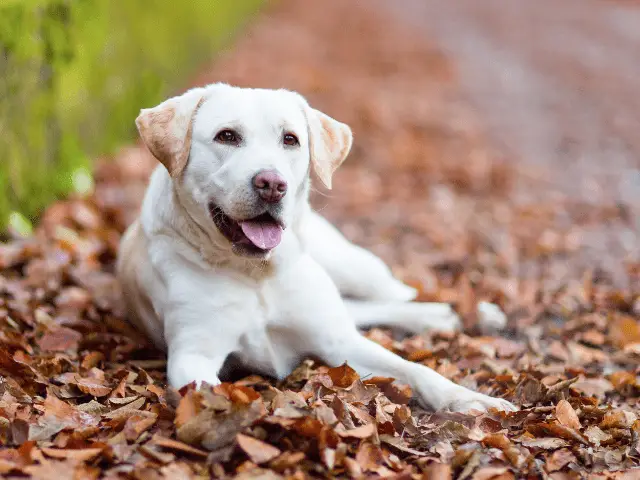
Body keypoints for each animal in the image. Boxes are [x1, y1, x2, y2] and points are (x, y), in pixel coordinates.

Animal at [115, 82, 516, 412]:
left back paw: (468, 312)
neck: (256, 273)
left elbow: (414, 369)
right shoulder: (193, 355)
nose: (272, 184)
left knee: (395, 293)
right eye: (226, 136)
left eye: (290, 139)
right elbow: (214, 393)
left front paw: (470, 399)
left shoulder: (339, 343)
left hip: (351, 266)